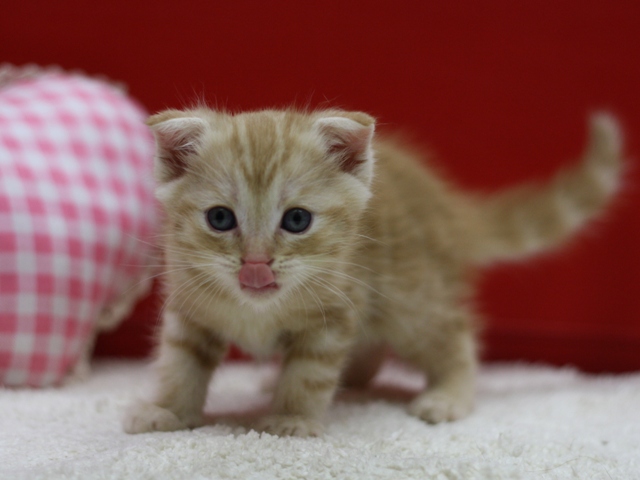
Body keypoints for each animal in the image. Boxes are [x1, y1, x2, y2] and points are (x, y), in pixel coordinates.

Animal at [122, 107, 624, 436]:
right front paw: (168, 410)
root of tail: (446, 207)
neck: (258, 307)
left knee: (454, 335)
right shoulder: (190, 311)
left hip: (411, 302)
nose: (256, 263)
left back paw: (450, 395)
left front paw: (291, 418)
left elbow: (309, 373)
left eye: (297, 220)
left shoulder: (333, 315)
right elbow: (179, 363)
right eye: (220, 219)